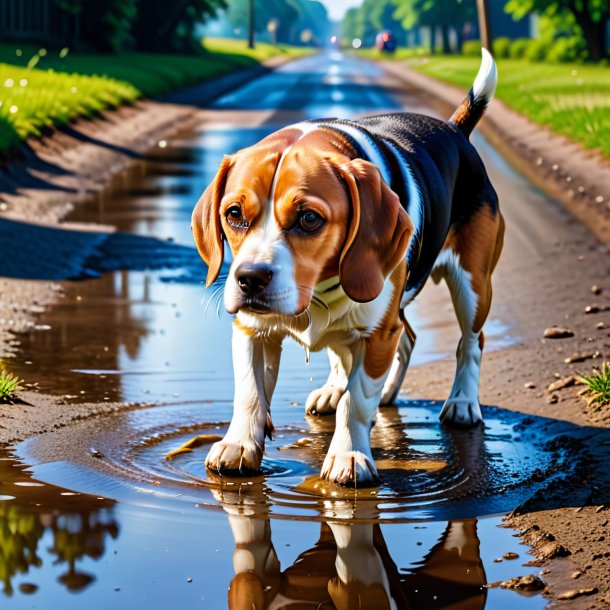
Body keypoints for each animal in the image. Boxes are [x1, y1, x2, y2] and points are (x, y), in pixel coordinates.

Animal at [191, 48, 504, 484]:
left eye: (309, 218)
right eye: (234, 214)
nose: (250, 279)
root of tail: (455, 130)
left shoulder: (378, 333)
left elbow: (355, 403)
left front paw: (349, 455)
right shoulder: (252, 328)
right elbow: (250, 393)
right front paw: (238, 445)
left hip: (471, 283)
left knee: (470, 342)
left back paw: (461, 402)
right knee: (396, 340)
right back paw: (350, 391)